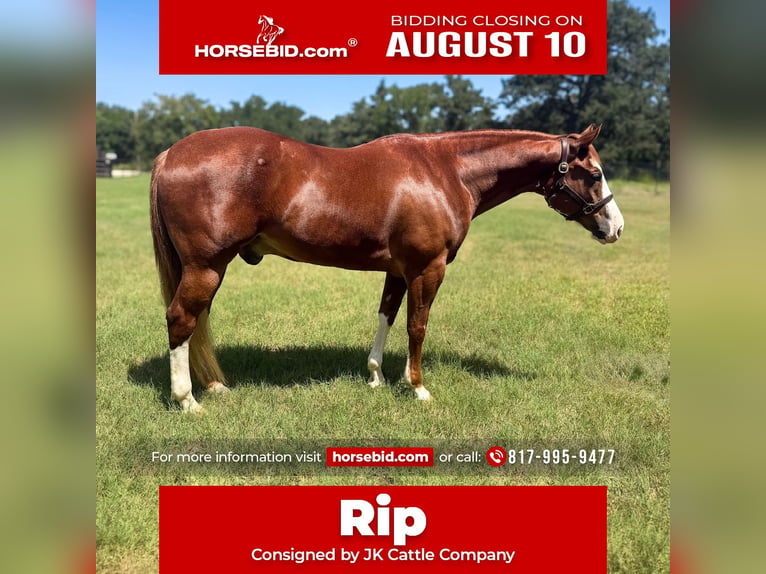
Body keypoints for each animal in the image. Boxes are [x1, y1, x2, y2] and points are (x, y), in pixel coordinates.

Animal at [150, 125, 624, 412]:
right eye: (594, 174)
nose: (615, 227)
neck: (446, 171)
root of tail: (171, 152)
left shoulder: (398, 270)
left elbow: (386, 317)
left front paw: (376, 376)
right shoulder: (428, 269)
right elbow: (417, 326)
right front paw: (417, 387)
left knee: (196, 321)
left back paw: (212, 385)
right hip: (206, 266)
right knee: (182, 319)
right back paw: (187, 399)